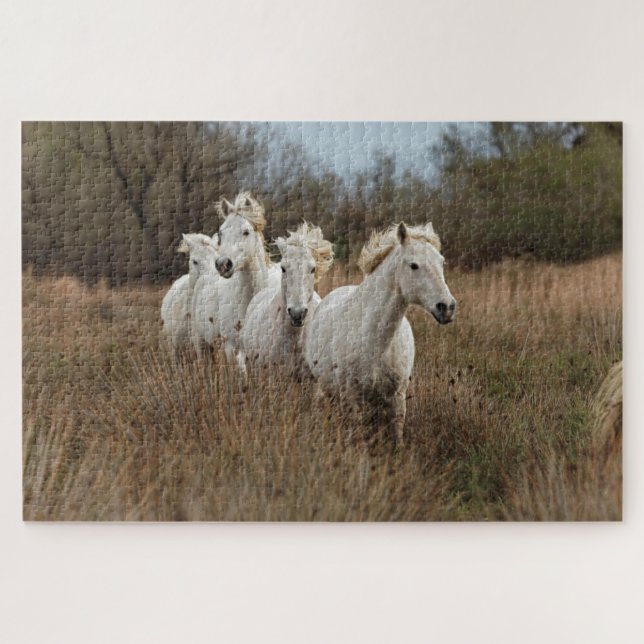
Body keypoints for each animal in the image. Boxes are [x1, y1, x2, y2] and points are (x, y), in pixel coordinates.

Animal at [305, 222, 456, 445]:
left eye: (441, 262)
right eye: (413, 265)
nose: (447, 307)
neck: (376, 341)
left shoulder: (397, 398)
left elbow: (397, 437)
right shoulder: (354, 398)